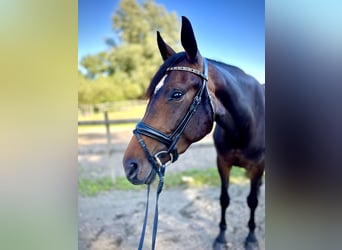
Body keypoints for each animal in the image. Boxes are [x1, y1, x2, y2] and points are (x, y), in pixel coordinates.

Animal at [122, 16, 264, 250]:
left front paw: (251, 237)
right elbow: (224, 199)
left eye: (177, 94)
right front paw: (221, 237)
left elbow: (252, 201)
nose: (130, 166)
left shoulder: (257, 167)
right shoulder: (222, 162)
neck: (243, 125)